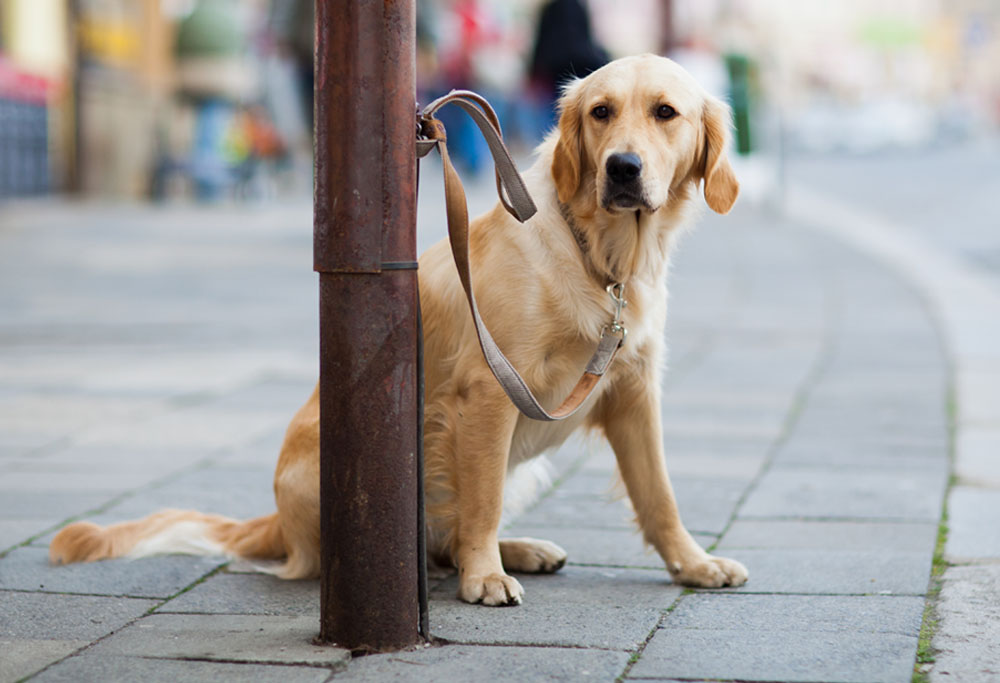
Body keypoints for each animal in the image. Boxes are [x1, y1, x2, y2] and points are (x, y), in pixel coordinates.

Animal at [50, 56, 748, 608]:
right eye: (601, 112)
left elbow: (659, 494)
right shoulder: (490, 390)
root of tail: (274, 521)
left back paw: (520, 549)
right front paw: (484, 578)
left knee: (450, 536)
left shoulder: (633, 391)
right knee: (438, 534)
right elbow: (482, 502)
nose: (623, 168)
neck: (602, 257)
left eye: (666, 112)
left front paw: (693, 563)